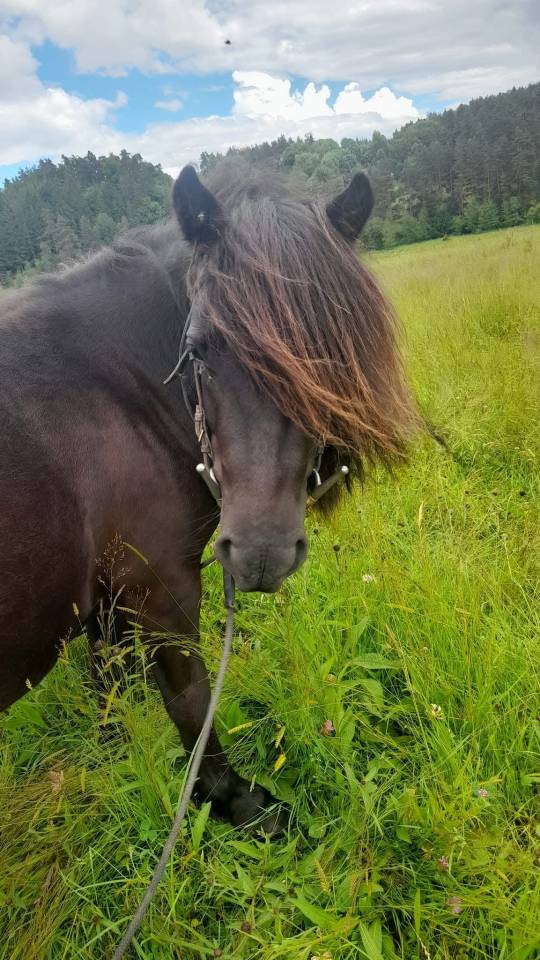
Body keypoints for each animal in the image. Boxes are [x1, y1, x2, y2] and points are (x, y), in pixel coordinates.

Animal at [0, 164, 415, 831]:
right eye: (196, 351)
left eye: (330, 355)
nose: (260, 554)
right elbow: (192, 703)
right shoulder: (160, 588)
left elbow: (106, 676)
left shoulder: (106, 597)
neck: (110, 398)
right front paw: (235, 801)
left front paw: (114, 745)